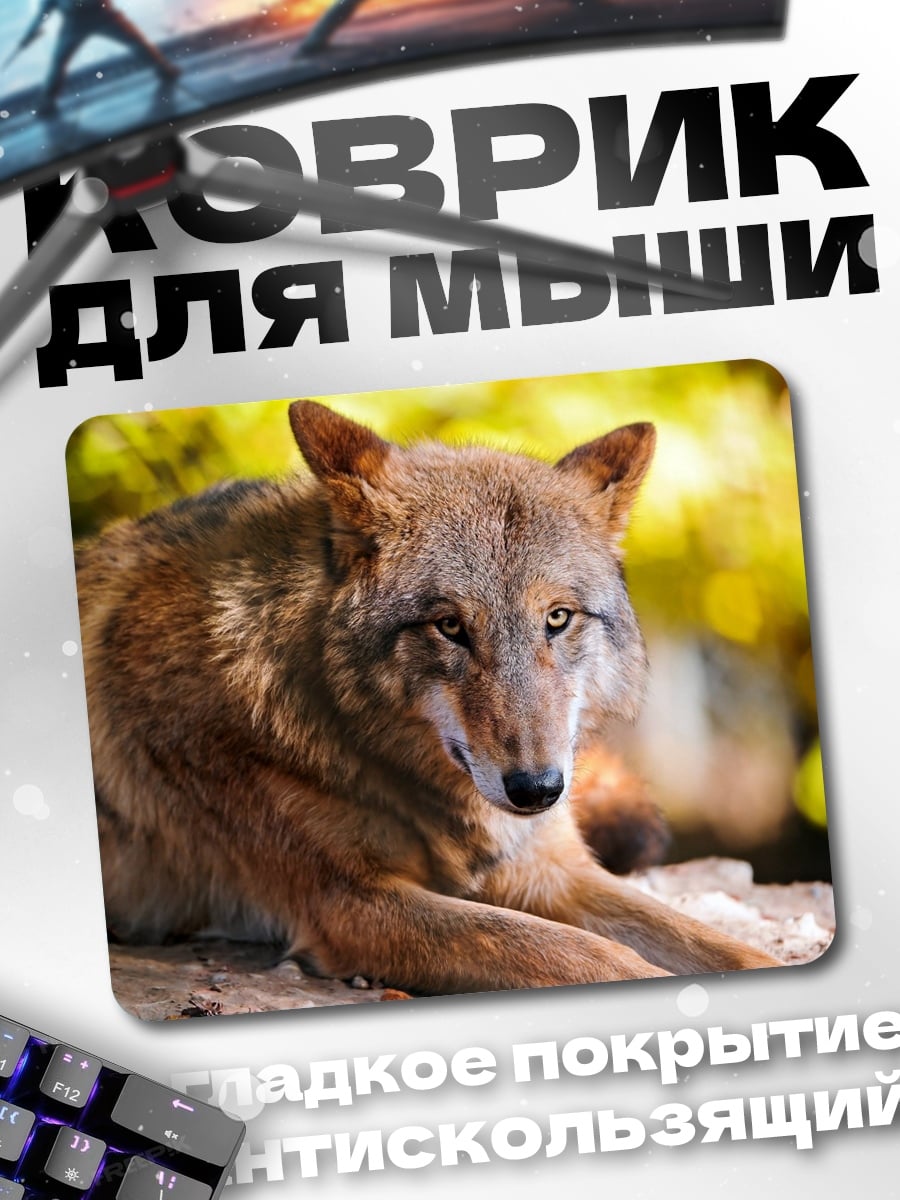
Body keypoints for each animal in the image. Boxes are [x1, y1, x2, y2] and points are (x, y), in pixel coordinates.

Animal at [77, 401, 778, 993]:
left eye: (557, 618)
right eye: (449, 626)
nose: (538, 790)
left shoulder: (549, 868)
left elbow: (723, 945)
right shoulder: (355, 905)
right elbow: (590, 955)